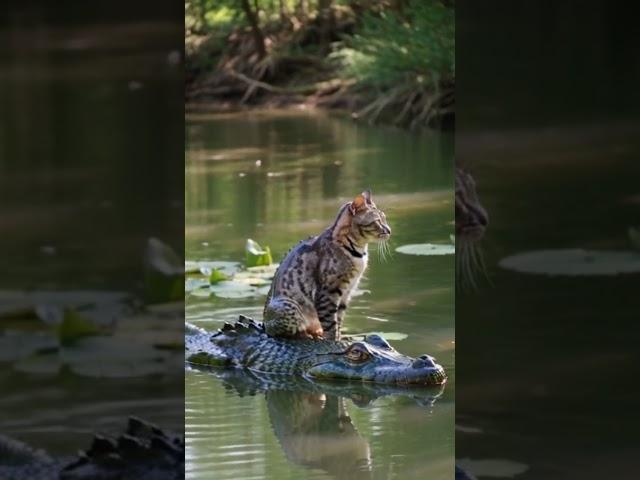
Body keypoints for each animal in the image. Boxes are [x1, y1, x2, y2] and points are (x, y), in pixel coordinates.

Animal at [262, 191, 390, 342]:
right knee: (279, 332)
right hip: (290, 307)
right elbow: (330, 322)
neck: (357, 253)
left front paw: (340, 337)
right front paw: (333, 341)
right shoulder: (328, 291)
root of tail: (264, 321)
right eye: (377, 221)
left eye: (384, 218)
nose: (389, 230)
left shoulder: (347, 292)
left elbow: (339, 320)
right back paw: (306, 335)